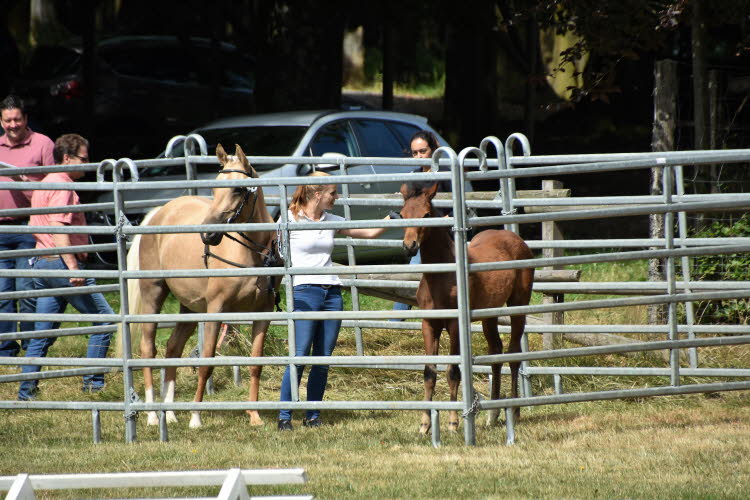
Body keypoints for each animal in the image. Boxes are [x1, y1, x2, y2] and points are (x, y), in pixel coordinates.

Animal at [125, 143, 280, 428]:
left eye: (238, 189)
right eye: (215, 189)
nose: (208, 234)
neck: (250, 254)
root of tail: (159, 212)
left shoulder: (263, 313)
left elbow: (256, 363)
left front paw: (254, 416)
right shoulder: (215, 311)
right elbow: (206, 363)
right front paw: (196, 418)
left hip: (189, 307)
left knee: (173, 348)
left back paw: (170, 413)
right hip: (153, 294)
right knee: (148, 348)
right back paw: (152, 414)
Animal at [400, 181, 536, 434]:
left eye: (426, 215)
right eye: (402, 215)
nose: (409, 246)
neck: (441, 277)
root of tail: (514, 237)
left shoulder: (455, 325)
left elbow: (453, 372)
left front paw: (453, 423)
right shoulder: (429, 325)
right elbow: (429, 373)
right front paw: (424, 425)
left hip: (517, 306)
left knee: (513, 353)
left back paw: (514, 411)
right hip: (489, 315)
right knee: (496, 352)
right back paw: (492, 415)